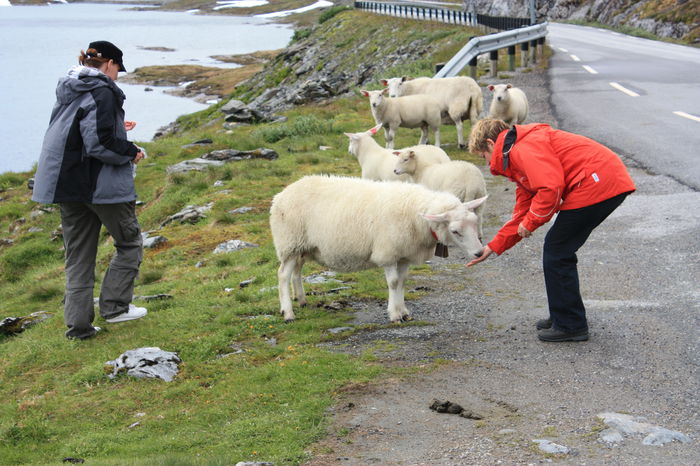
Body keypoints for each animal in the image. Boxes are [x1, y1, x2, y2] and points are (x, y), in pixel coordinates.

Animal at [268, 175, 486, 324]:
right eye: (455, 231)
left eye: (475, 223)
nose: (479, 253)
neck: (417, 217)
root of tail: (282, 193)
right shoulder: (388, 252)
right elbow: (393, 282)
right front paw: (395, 314)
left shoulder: (404, 254)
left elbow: (402, 282)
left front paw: (404, 311)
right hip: (289, 242)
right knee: (283, 275)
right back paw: (288, 312)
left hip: (302, 246)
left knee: (296, 271)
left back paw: (301, 299)